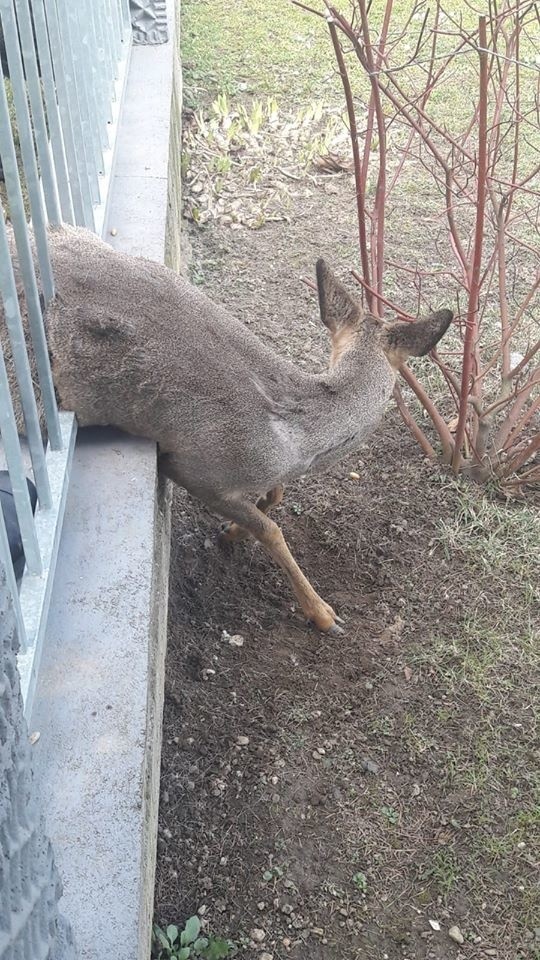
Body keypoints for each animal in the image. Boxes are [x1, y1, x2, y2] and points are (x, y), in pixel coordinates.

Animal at [5, 228, 452, 632]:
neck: (293, 439)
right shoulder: (196, 467)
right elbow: (272, 529)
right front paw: (323, 613)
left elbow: (274, 496)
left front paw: (235, 529)